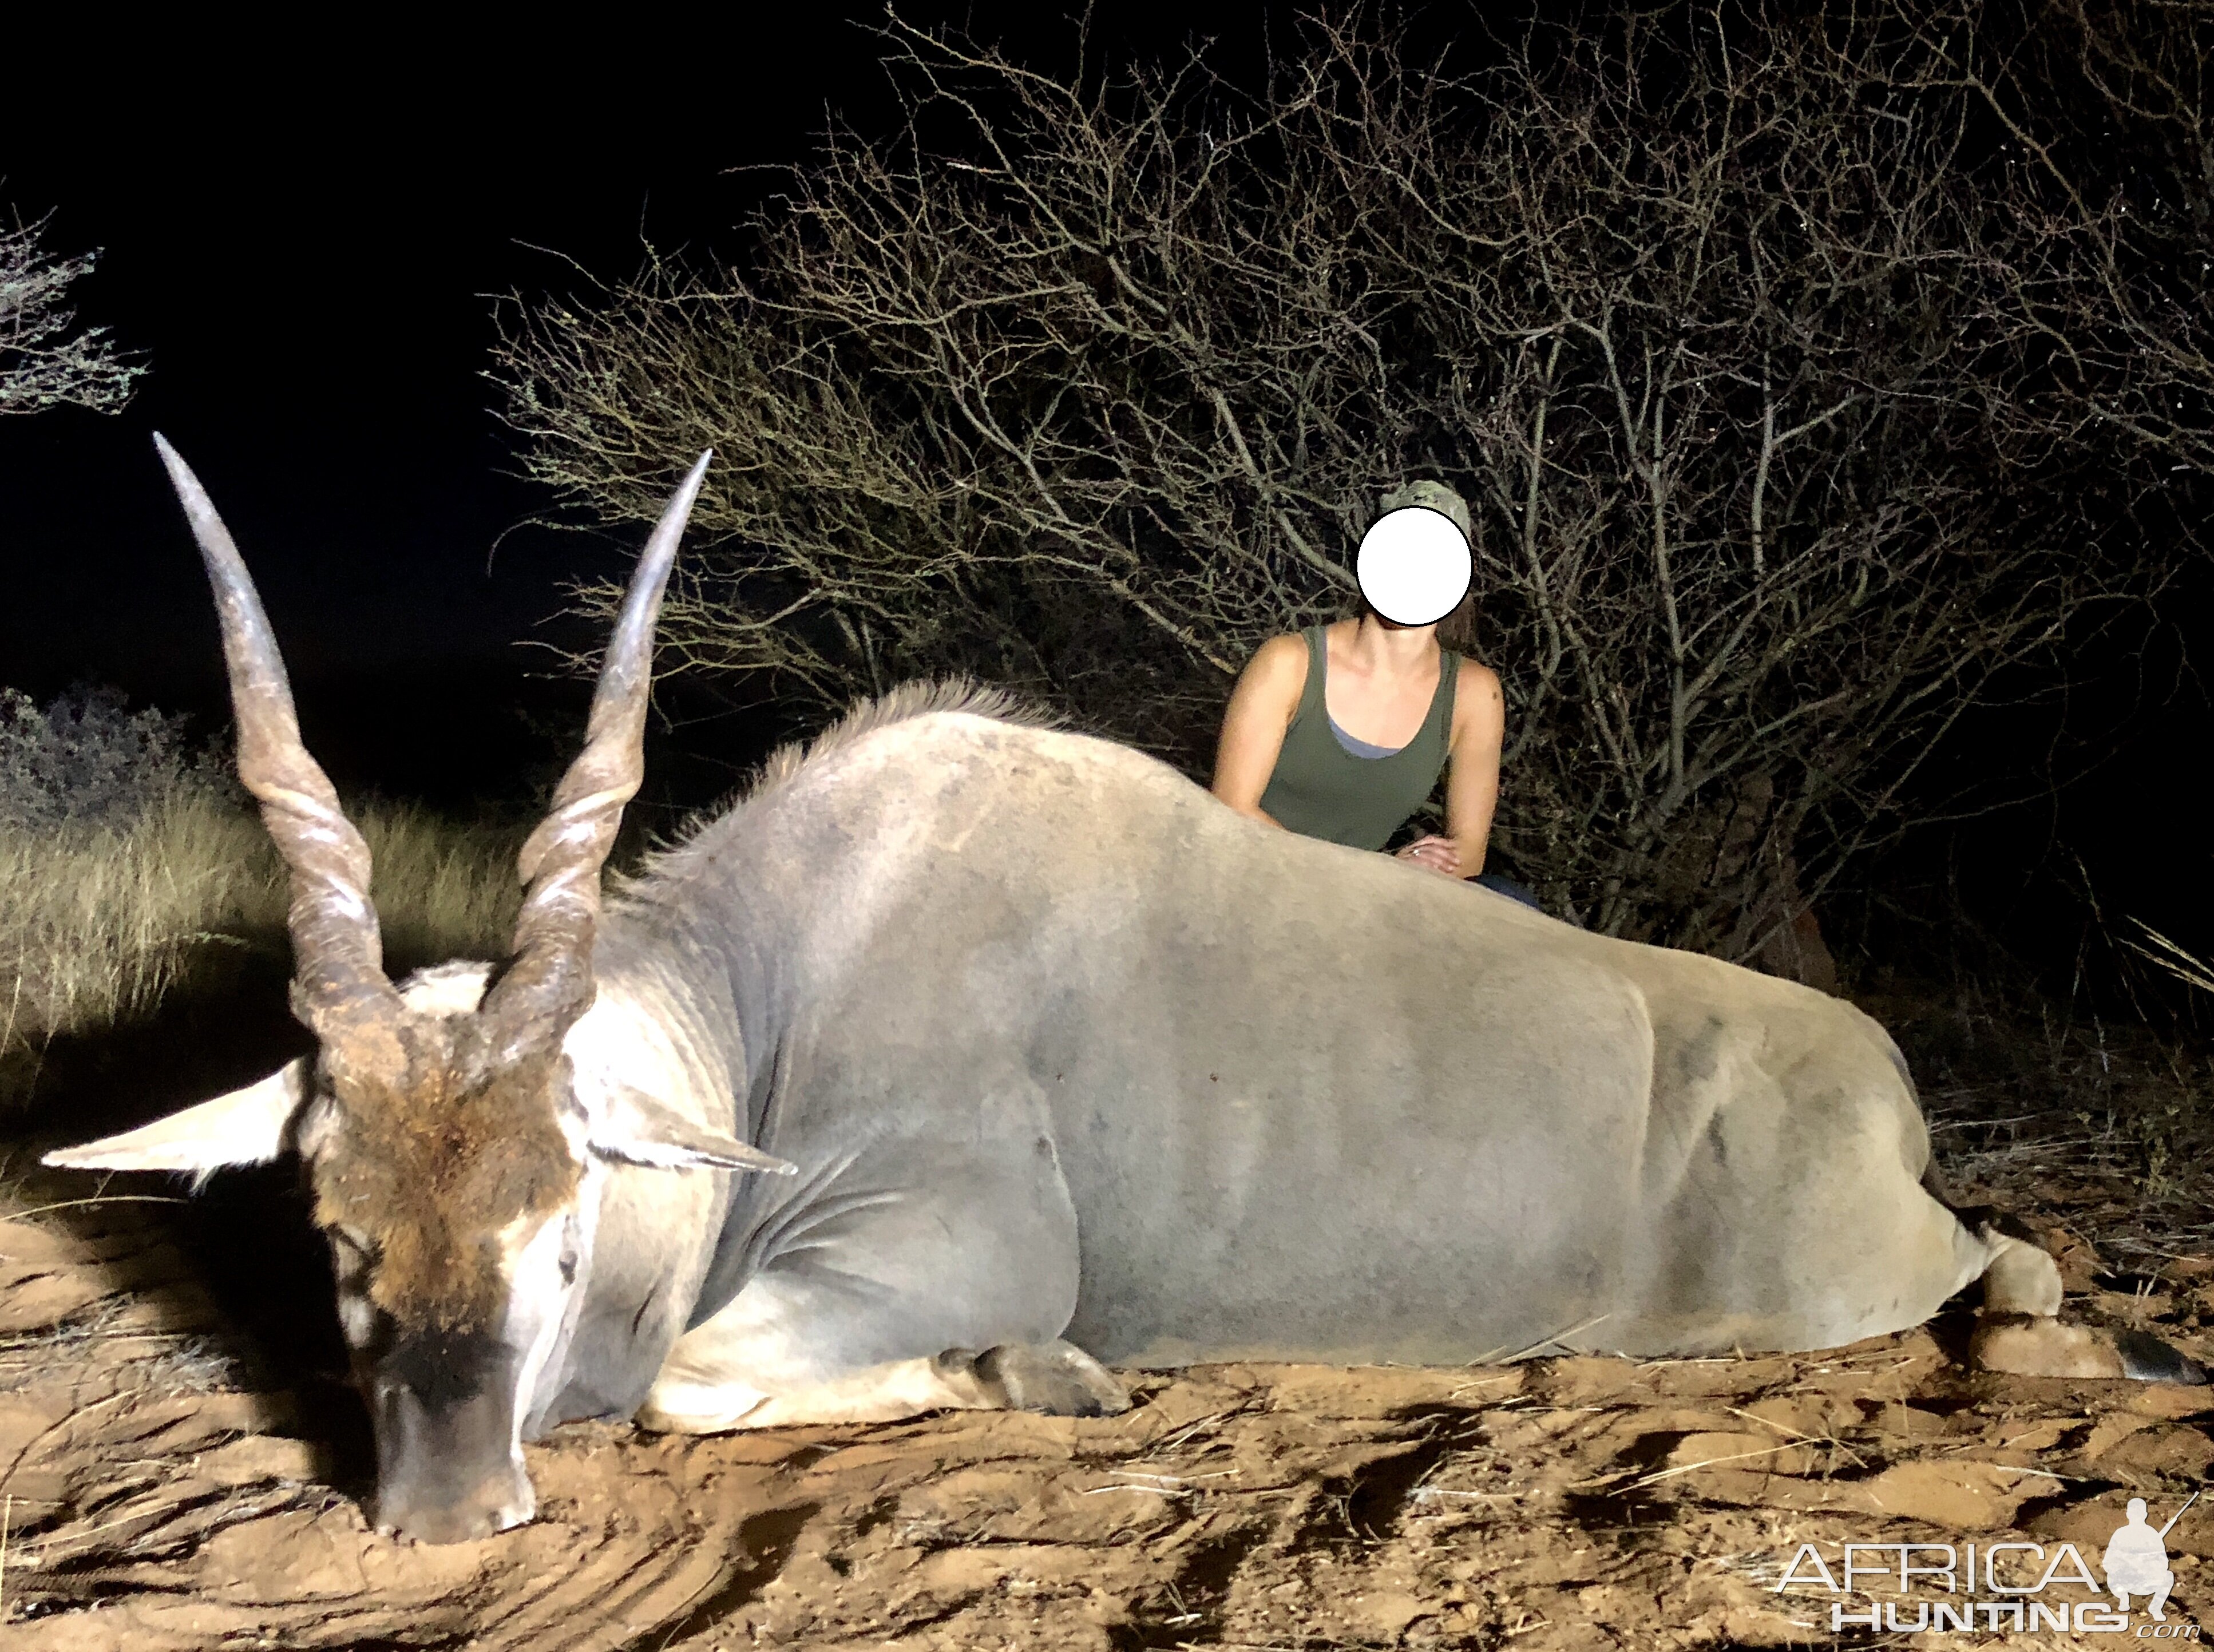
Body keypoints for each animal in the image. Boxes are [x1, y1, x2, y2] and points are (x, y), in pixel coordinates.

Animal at [47, 441, 2196, 1541]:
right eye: (335, 1231)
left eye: (563, 1221)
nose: (434, 1508)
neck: (780, 991)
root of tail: (1881, 1074)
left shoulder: (947, 1243)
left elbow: (696, 1374)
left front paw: (1040, 1377)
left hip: (1836, 1279)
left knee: (1996, 1263)